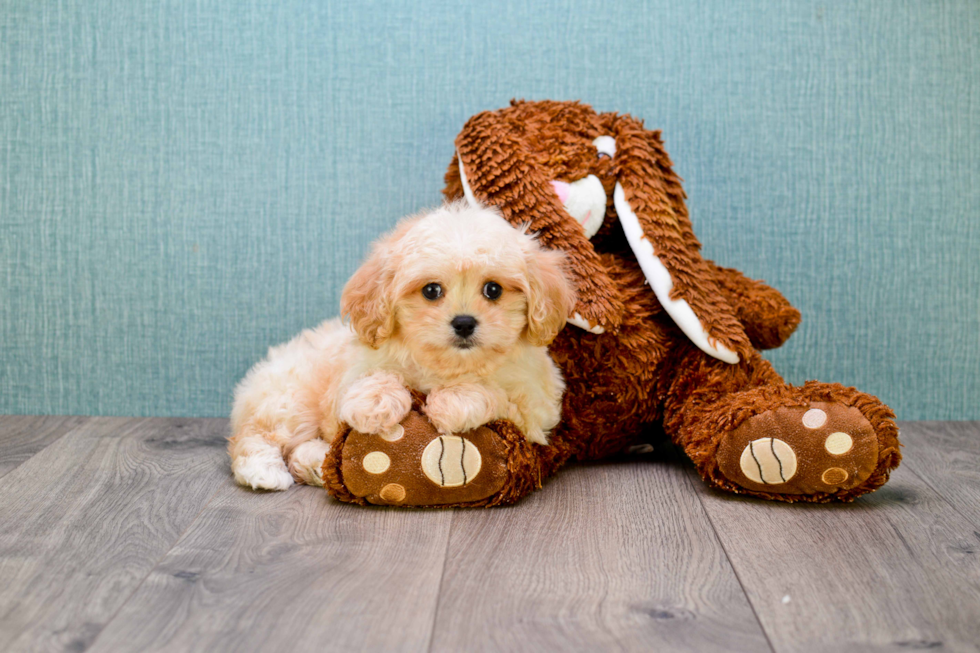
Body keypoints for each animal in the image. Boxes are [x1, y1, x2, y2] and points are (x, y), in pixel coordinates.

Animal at [229, 202, 576, 488]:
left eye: (493, 290)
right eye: (431, 290)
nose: (464, 322)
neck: (448, 364)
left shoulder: (537, 410)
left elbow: (497, 394)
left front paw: (454, 402)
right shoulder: (352, 372)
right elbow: (372, 378)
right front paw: (375, 403)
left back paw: (314, 463)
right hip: (289, 397)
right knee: (254, 435)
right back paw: (263, 471)